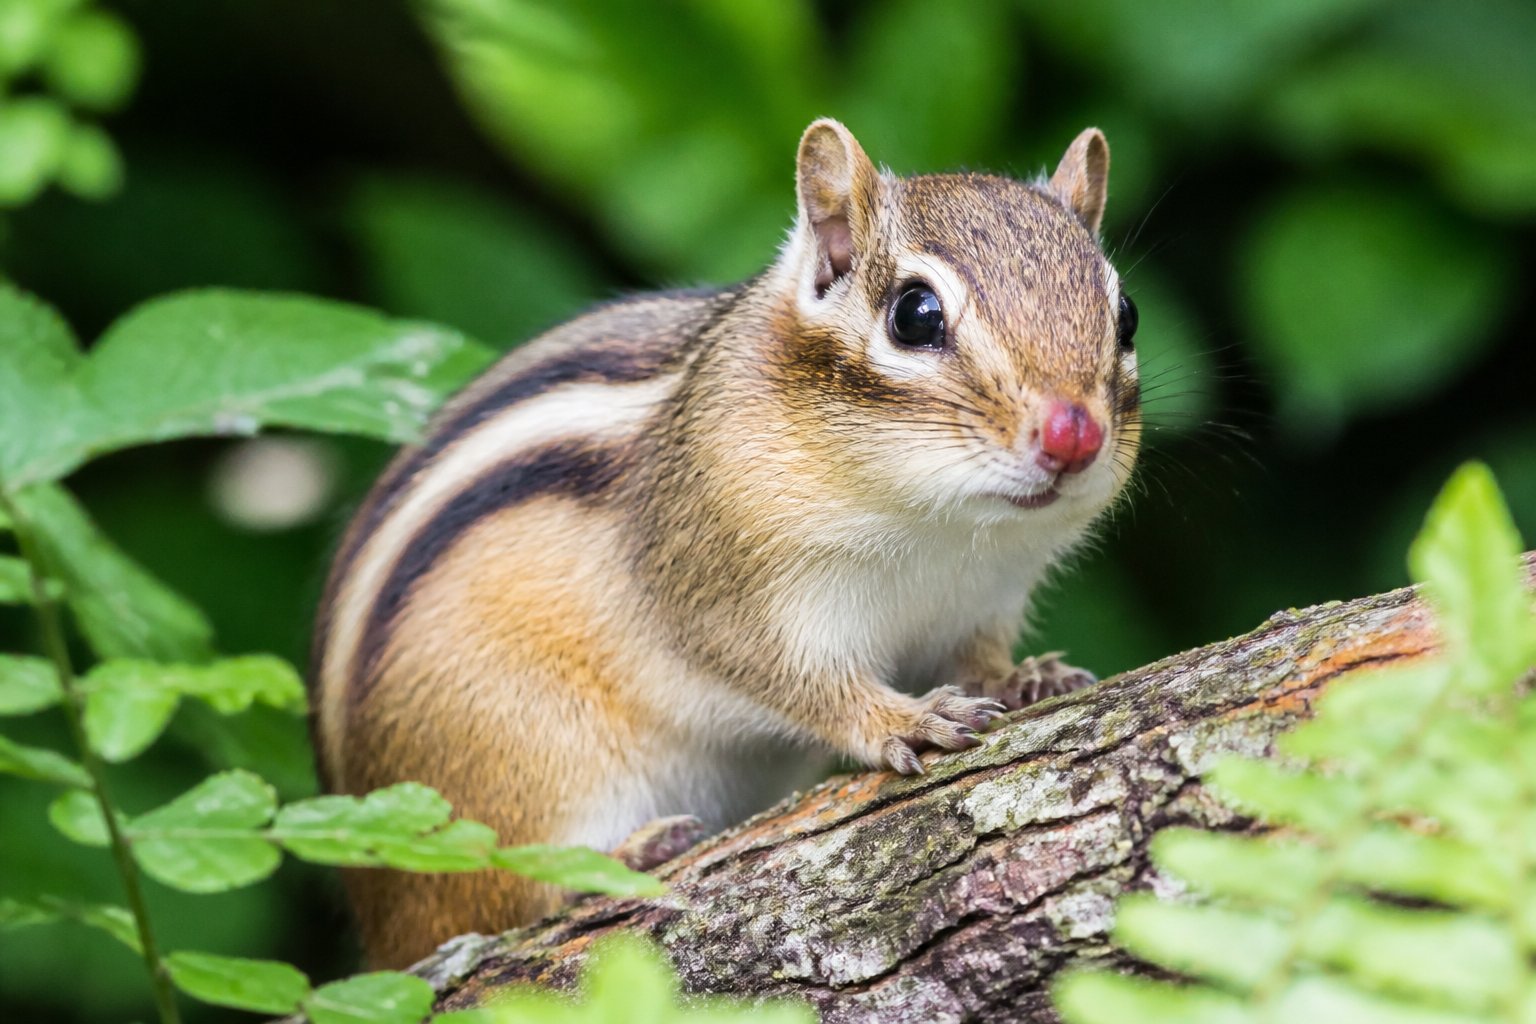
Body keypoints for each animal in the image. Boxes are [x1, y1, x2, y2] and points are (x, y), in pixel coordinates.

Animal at [310, 119, 1141, 969]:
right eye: (915, 315)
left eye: (1128, 314)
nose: (1074, 435)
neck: (944, 530)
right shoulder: (721, 587)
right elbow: (794, 678)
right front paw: (896, 719)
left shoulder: (983, 600)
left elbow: (978, 658)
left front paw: (1025, 676)